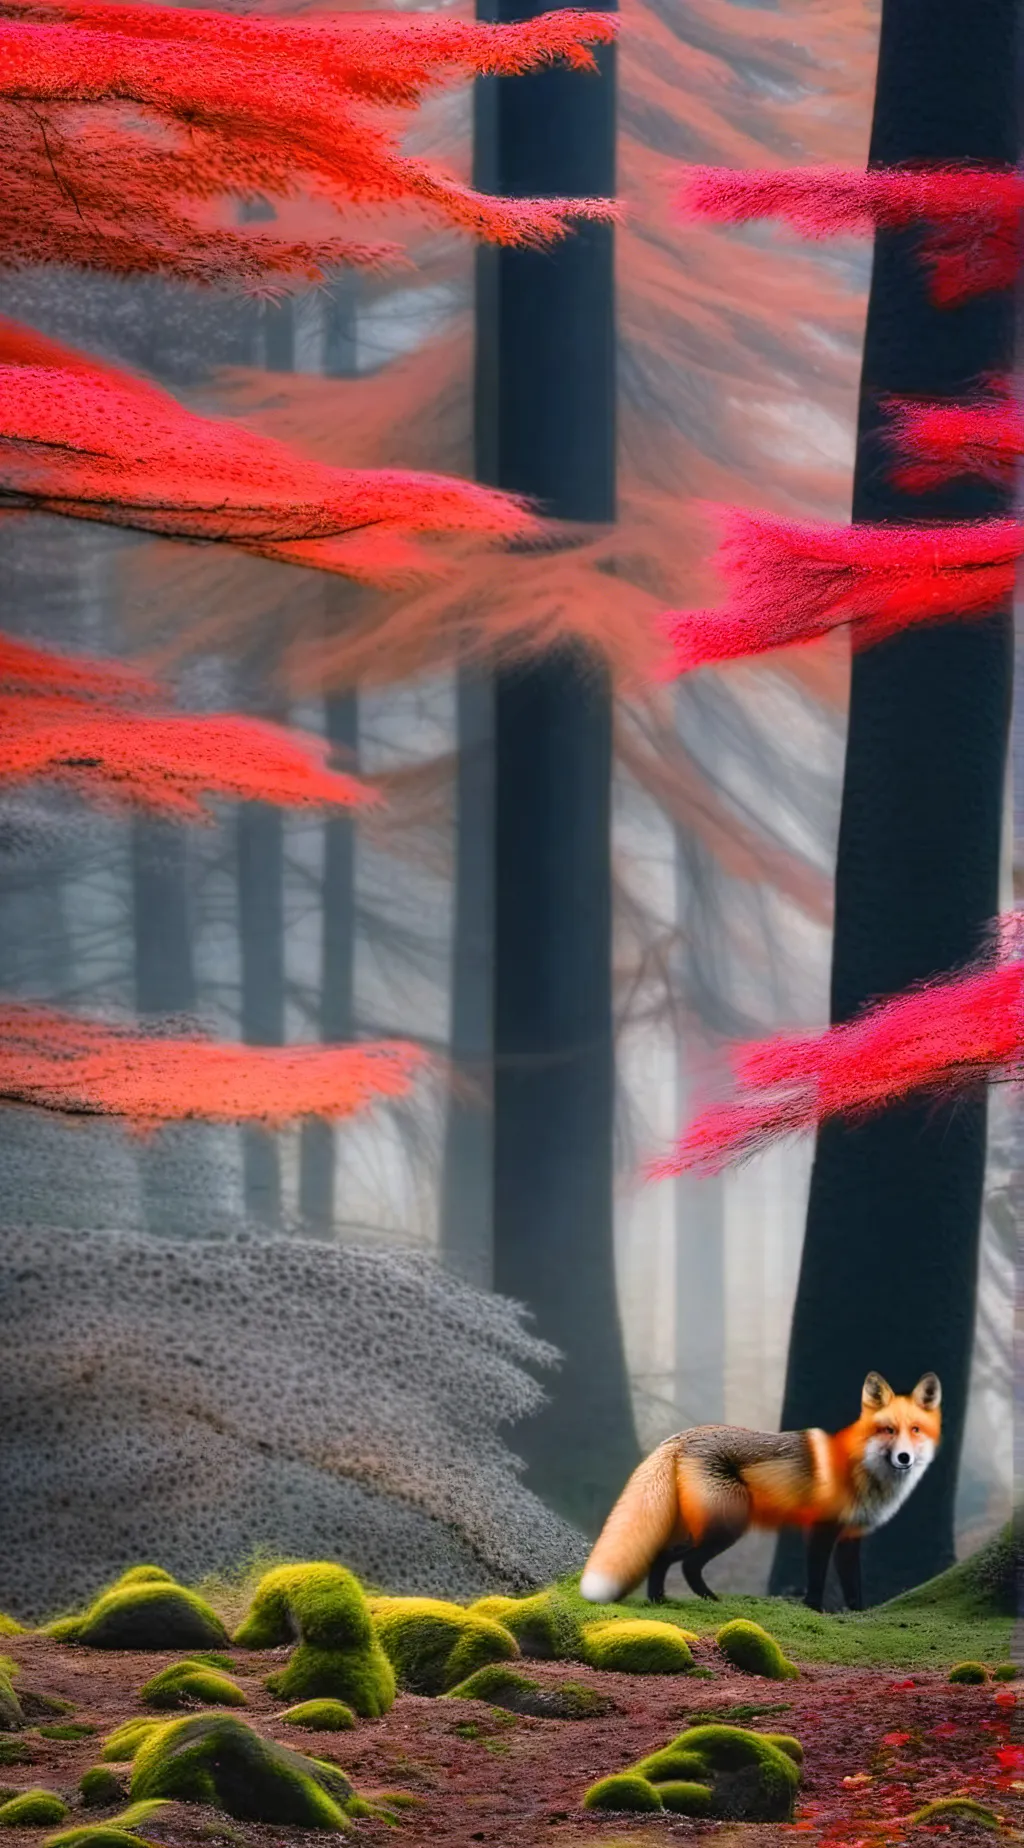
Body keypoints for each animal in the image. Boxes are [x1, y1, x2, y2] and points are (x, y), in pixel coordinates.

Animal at [579, 1371, 941, 1613]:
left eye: (916, 1430)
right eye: (887, 1430)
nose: (904, 1458)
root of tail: (682, 1437)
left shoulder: (850, 1538)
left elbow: (853, 1587)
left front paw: (858, 1615)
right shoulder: (821, 1530)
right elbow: (817, 1578)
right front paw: (814, 1609)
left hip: (698, 1527)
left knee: (662, 1557)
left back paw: (659, 1599)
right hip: (727, 1527)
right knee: (685, 1563)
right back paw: (707, 1599)